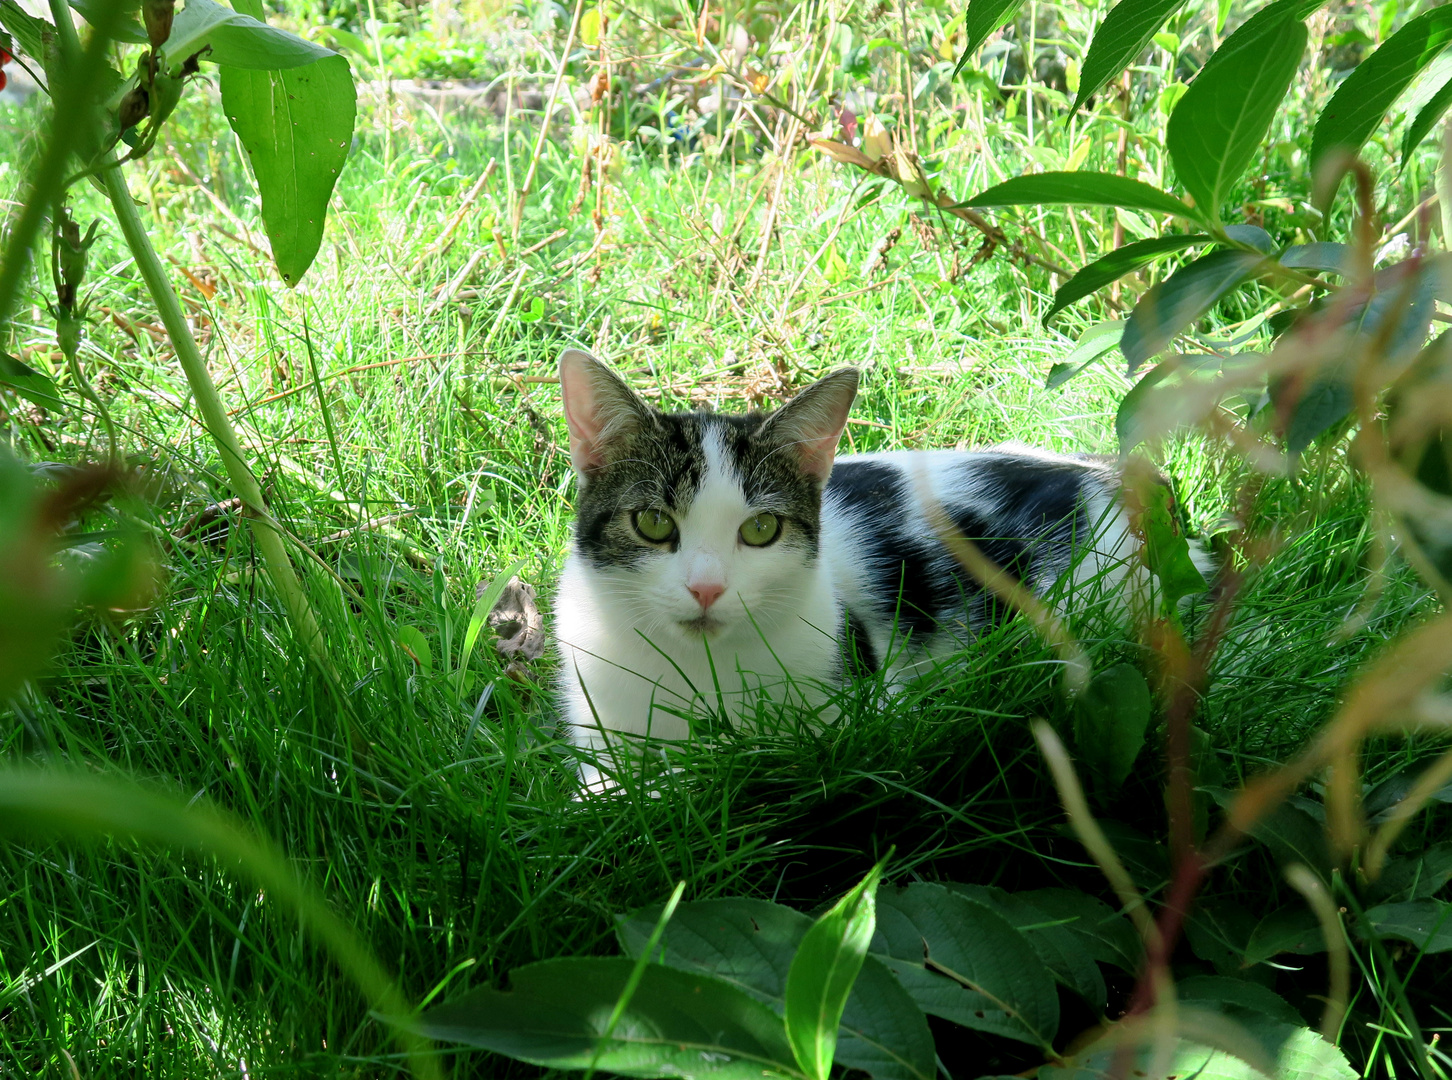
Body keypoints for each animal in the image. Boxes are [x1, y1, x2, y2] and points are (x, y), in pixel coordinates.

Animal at [554, 349, 1179, 789]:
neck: (696, 671)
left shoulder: (867, 710)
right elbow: (604, 790)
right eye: (653, 522)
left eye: (761, 529)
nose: (706, 588)